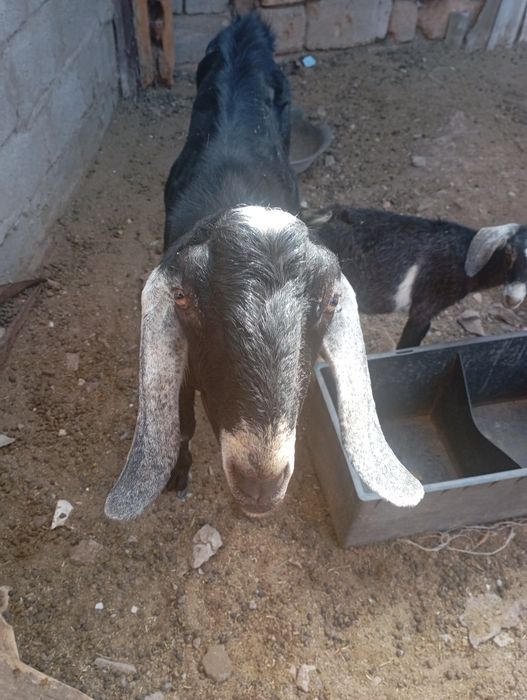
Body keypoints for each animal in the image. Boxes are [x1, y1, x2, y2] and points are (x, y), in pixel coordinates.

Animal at [104, 15, 423, 521]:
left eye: (331, 302)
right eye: (183, 299)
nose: (260, 480)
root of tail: (246, 28)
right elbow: (182, 416)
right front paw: (176, 471)